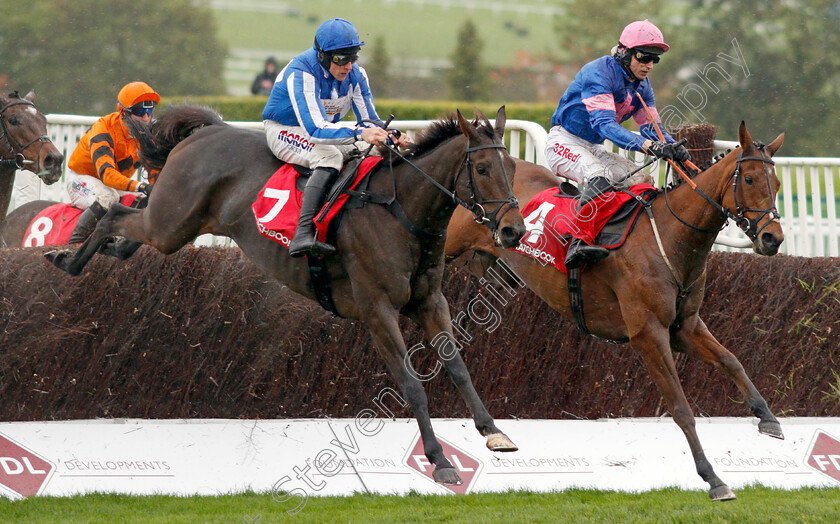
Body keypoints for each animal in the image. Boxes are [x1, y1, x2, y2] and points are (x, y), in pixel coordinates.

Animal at [44, 104, 524, 486]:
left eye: (514, 169)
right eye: (482, 169)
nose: (513, 230)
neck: (399, 210)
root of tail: (208, 131)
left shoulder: (430, 301)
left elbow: (457, 366)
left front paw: (493, 431)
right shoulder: (377, 310)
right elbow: (411, 384)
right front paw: (440, 461)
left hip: (175, 227)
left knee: (128, 230)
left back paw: (87, 248)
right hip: (170, 222)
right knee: (114, 213)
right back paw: (68, 257)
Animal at [446, 121, 788, 502]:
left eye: (776, 183)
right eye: (750, 179)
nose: (772, 238)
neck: (669, 236)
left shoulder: (684, 327)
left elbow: (732, 361)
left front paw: (768, 418)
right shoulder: (648, 334)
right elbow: (681, 408)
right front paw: (713, 478)